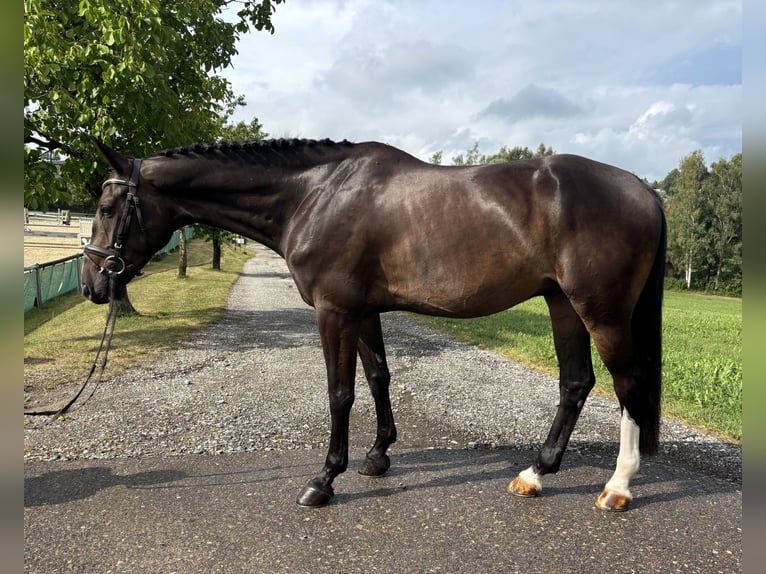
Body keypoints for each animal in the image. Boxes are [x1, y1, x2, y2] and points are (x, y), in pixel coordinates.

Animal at [82, 137, 666, 511]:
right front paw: (378, 457)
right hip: (562, 304)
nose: (92, 285)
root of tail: (643, 189)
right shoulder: (362, 312)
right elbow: (379, 376)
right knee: (576, 383)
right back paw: (535, 474)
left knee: (627, 384)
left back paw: (618, 487)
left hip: (600, 311)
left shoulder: (334, 311)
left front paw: (323, 480)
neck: (314, 194)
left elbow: (340, 392)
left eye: (108, 207)